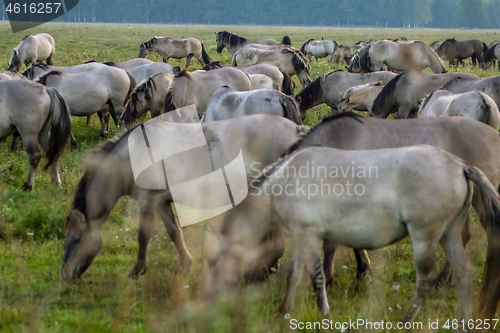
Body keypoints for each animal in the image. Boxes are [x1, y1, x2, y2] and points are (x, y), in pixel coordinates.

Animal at [61, 114, 306, 280]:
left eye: (76, 239)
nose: (65, 275)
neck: (131, 156)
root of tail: (295, 129)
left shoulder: (147, 201)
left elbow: (143, 235)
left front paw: (138, 270)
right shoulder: (161, 202)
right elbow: (174, 232)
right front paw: (187, 264)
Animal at [204, 144, 492, 326]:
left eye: (214, 262)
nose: (209, 299)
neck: (286, 179)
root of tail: (461, 166)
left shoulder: (309, 234)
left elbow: (317, 276)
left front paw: (324, 314)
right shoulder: (301, 235)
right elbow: (294, 274)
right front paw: (283, 310)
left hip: (425, 237)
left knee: (426, 280)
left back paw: (406, 321)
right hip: (449, 234)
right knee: (464, 273)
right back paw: (464, 323)